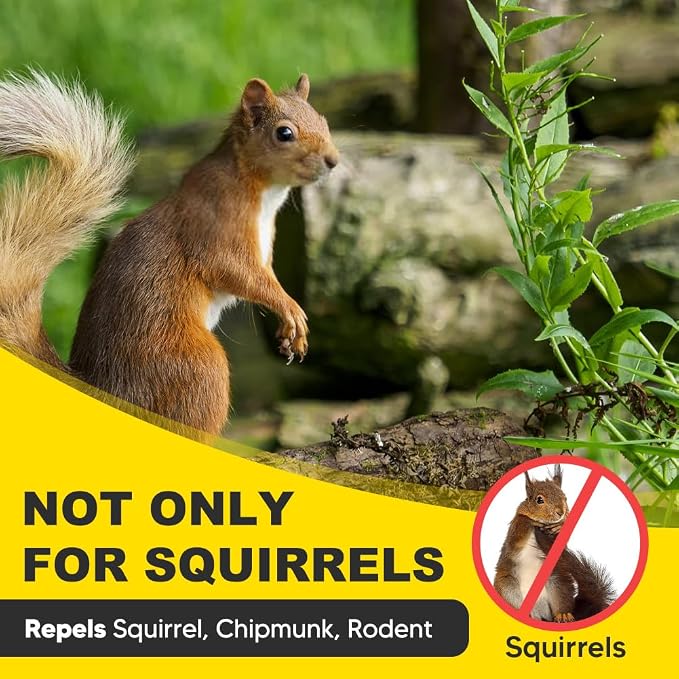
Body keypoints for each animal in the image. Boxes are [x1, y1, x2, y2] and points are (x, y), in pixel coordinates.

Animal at [0, 69, 339, 436]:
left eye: (323, 120)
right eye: (284, 133)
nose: (333, 161)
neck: (260, 190)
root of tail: (109, 395)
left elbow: (266, 278)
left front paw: (290, 331)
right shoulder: (215, 229)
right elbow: (238, 274)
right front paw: (291, 310)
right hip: (199, 364)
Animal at [494, 464, 616, 622]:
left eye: (565, 498)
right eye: (539, 500)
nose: (561, 512)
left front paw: (560, 525)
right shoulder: (514, 534)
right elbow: (519, 531)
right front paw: (529, 520)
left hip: (559, 584)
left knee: (562, 604)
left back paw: (563, 615)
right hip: (507, 587)